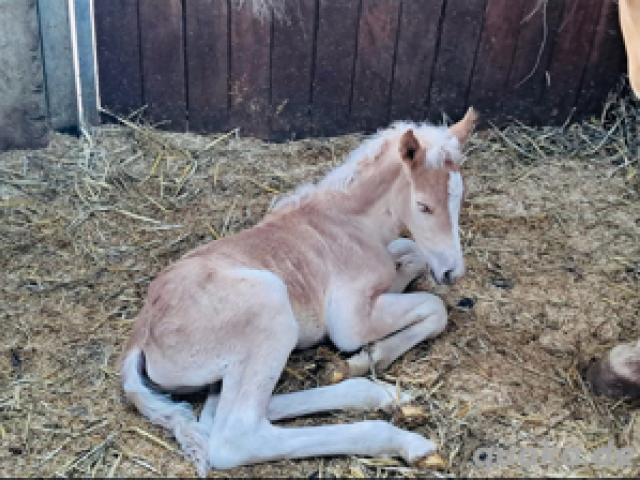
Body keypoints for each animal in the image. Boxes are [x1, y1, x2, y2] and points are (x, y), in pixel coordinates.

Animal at [122, 108, 478, 472]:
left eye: (459, 198)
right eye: (423, 206)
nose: (452, 272)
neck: (351, 224)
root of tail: (141, 336)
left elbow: (413, 254)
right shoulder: (350, 324)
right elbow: (434, 306)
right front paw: (371, 356)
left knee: (219, 412)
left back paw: (383, 395)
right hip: (269, 305)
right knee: (236, 437)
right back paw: (406, 440)